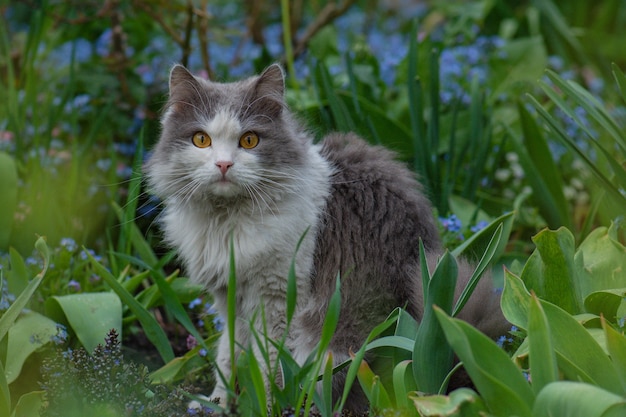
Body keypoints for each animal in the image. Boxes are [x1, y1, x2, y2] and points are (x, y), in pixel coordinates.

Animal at [144, 63, 504, 412]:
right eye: (201, 140)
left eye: (249, 141)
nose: (223, 164)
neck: (227, 220)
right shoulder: (230, 298)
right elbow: (227, 354)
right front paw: (218, 403)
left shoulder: (277, 298)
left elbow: (267, 363)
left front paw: (265, 405)